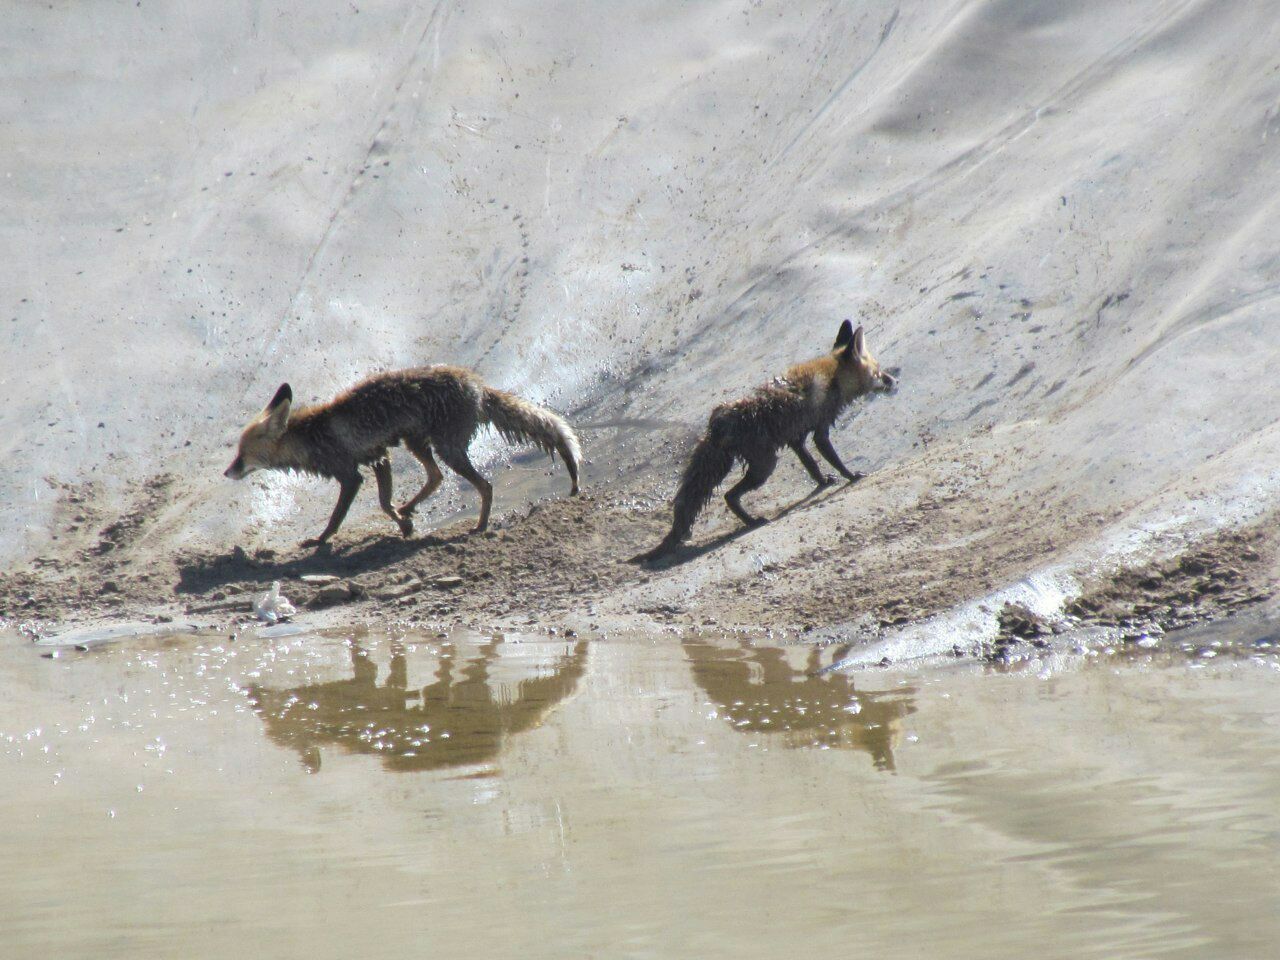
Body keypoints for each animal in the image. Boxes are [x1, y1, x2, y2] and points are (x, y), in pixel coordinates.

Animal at [640, 323, 901, 563]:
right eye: (878, 373)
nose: (895, 380)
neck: (834, 377)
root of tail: (719, 422)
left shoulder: (797, 439)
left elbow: (811, 465)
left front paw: (823, 481)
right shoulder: (820, 430)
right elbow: (833, 459)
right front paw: (851, 476)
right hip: (765, 466)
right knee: (729, 496)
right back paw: (752, 522)